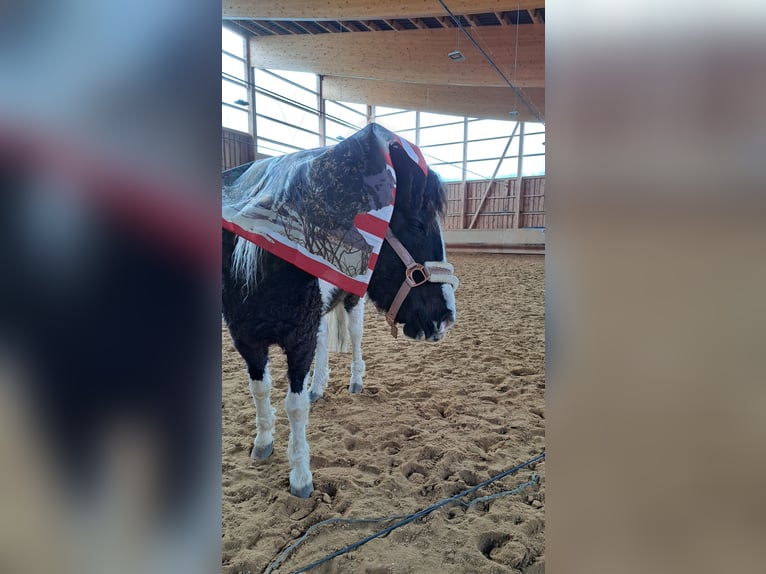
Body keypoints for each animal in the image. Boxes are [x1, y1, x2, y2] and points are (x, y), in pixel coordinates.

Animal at [225, 132, 460, 500]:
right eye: (418, 224)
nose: (446, 317)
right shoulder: (247, 341)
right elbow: (259, 391)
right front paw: (262, 443)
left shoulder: (299, 341)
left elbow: (294, 406)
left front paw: (300, 477)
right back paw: (318, 386)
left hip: (351, 306)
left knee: (355, 341)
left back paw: (354, 381)